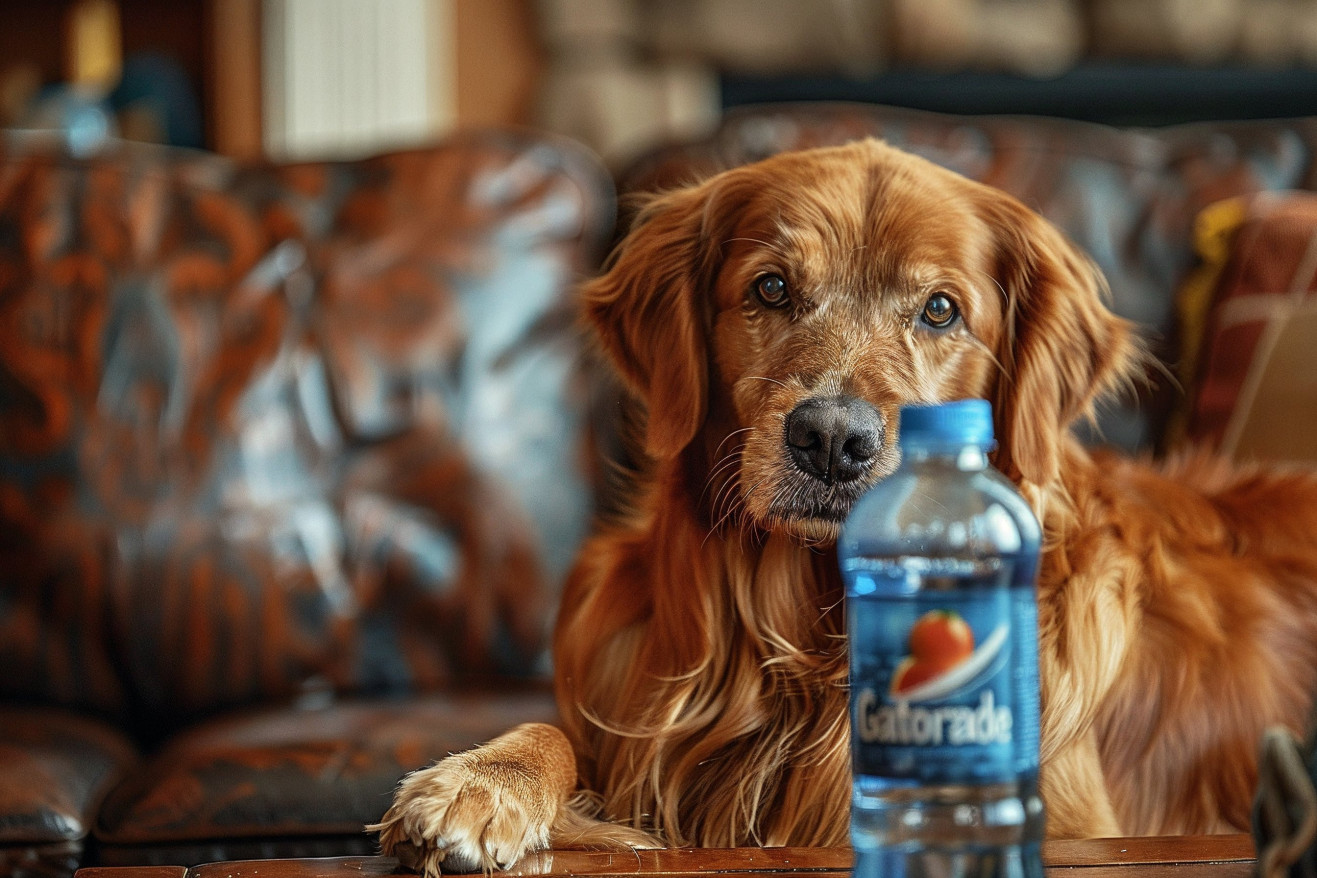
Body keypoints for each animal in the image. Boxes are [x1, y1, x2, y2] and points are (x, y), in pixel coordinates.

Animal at [366, 140, 1317, 874]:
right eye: (771, 289)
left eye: (940, 309)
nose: (830, 439)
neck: (806, 645)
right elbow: (550, 731)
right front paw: (479, 782)